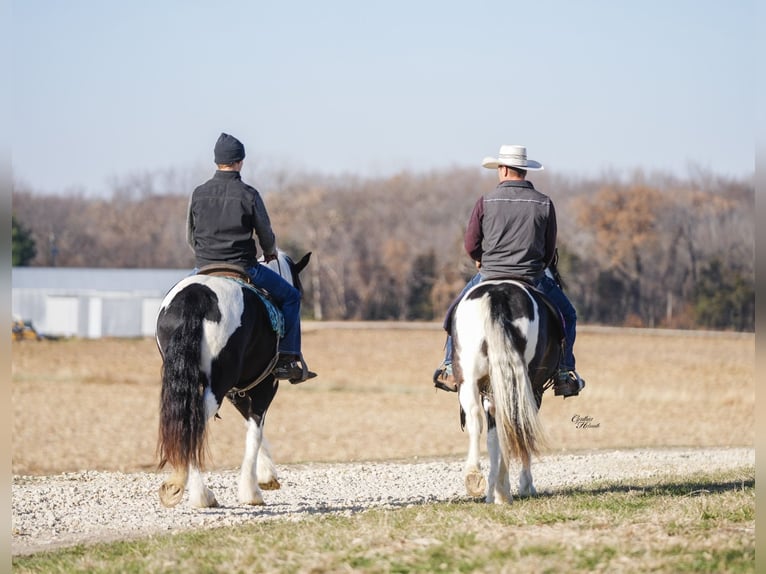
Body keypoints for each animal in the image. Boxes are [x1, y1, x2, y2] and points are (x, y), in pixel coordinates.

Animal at [155, 251, 311, 508]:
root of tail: (196, 297)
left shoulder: (236, 391)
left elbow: (249, 424)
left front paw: (267, 475)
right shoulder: (264, 385)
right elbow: (255, 430)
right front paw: (252, 491)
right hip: (220, 384)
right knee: (195, 424)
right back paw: (202, 495)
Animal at [450, 276, 564, 504]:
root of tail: (497, 295)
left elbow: (493, 438)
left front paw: (493, 490)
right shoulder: (535, 391)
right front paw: (524, 486)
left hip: (469, 376)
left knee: (476, 419)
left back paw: (475, 477)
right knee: (514, 424)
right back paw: (503, 490)